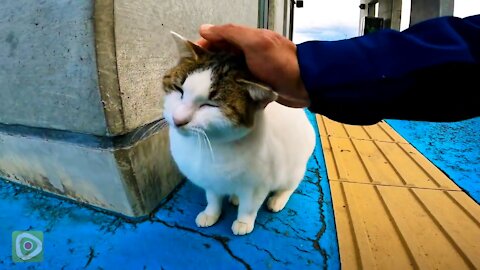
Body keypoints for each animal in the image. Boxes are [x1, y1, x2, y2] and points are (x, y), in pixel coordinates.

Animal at [163, 31, 316, 234]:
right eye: (179, 89)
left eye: (210, 105)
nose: (178, 120)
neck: (210, 144)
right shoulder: (210, 180)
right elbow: (213, 198)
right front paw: (211, 213)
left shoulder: (258, 186)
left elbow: (249, 206)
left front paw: (244, 222)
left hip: (293, 169)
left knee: (290, 185)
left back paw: (277, 199)